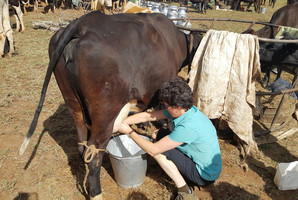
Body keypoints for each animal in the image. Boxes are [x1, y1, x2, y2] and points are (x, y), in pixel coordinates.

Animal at [18, 11, 203, 199]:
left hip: (73, 103)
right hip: (105, 113)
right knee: (93, 156)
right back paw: (97, 194)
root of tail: (83, 23)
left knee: (82, 147)